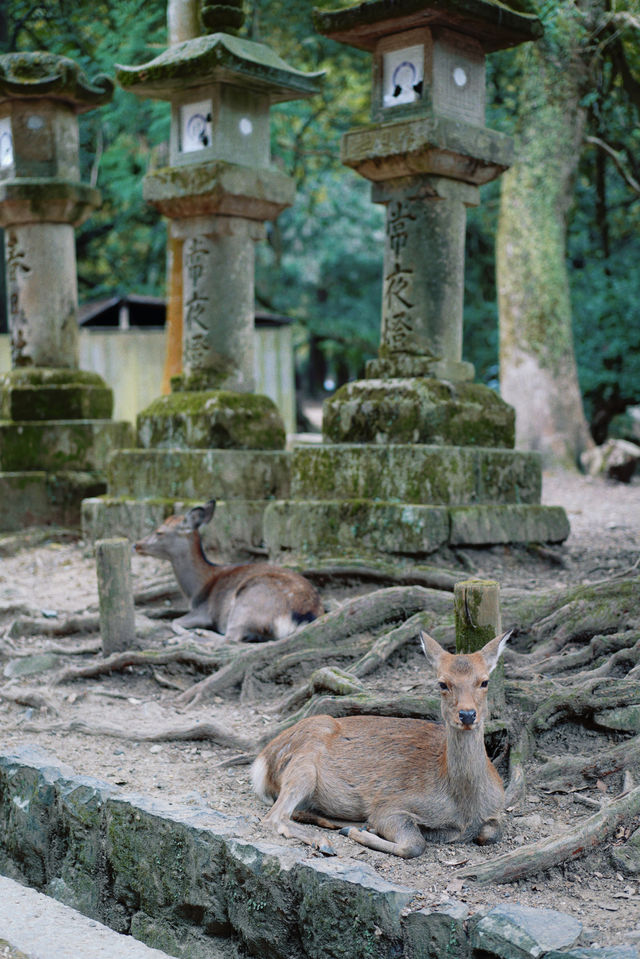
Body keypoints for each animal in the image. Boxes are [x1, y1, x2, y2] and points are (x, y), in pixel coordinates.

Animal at [136, 498, 324, 640]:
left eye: (159, 532)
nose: (136, 544)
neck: (196, 591)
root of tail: (303, 615)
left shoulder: (204, 611)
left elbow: (173, 622)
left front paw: (186, 633)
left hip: (248, 604)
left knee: (230, 638)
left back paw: (197, 635)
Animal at [252, 632, 512, 864]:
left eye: (484, 681)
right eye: (442, 683)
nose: (467, 714)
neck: (464, 808)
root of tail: (261, 762)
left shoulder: (496, 810)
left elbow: (492, 833)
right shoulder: (391, 805)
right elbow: (415, 845)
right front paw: (357, 834)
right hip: (303, 766)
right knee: (274, 816)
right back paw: (326, 841)